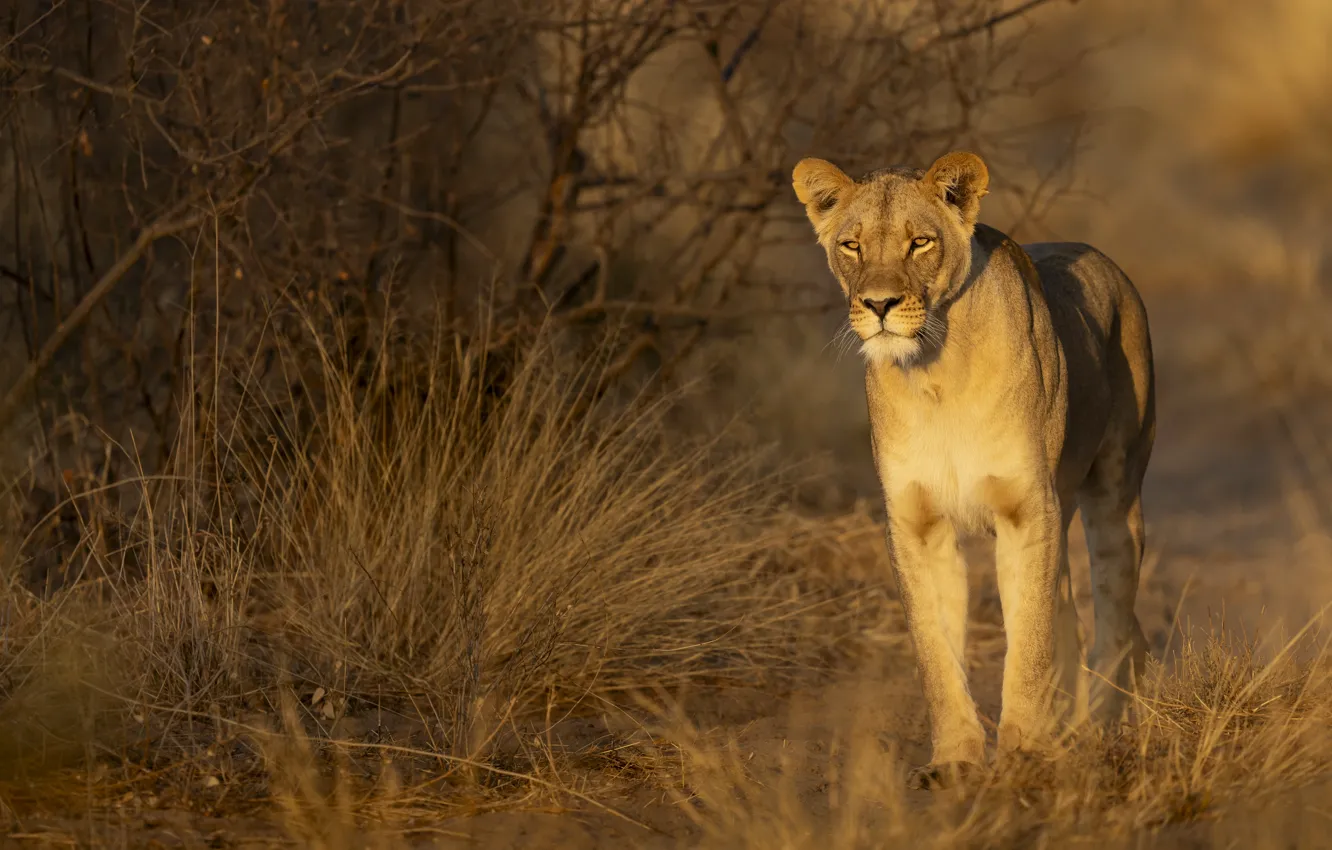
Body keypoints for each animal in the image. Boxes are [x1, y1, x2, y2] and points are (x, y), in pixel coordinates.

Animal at [792, 152, 1155, 790]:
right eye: (851, 246)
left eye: (919, 242)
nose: (879, 307)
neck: (935, 373)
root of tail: (1110, 264)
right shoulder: (916, 525)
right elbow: (937, 653)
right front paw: (956, 760)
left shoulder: (1026, 511)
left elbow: (1027, 644)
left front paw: (1025, 752)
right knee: (1069, 617)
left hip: (1115, 501)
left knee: (1115, 623)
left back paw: (1093, 736)